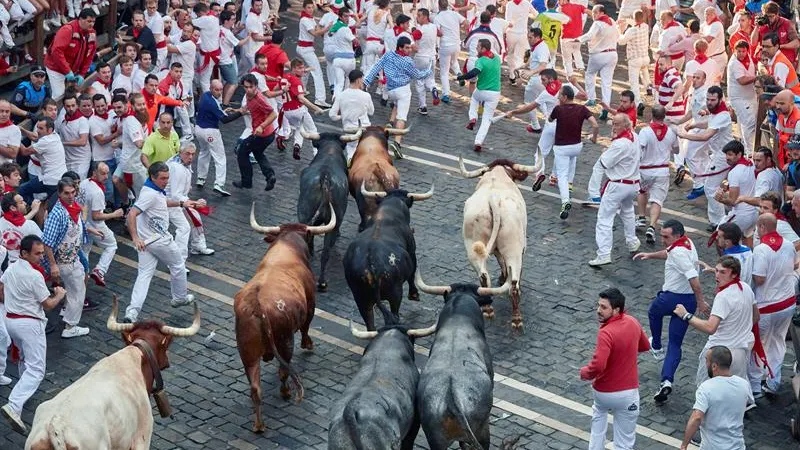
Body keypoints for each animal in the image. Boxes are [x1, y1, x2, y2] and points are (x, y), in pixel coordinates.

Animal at [233, 203, 336, 432]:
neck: (287, 247)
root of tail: (257, 303)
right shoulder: (311, 305)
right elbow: (307, 326)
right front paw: (308, 344)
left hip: (247, 352)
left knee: (255, 388)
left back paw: (259, 425)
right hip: (285, 340)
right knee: (283, 371)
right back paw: (286, 393)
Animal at [460, 155, 540, 330]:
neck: (496, 178)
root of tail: (493, 199)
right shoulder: (521, 249)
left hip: (472, 247)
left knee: (483, 277)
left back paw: (488, 309)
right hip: (514, 249)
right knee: (514, 283)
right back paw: (516, 318)